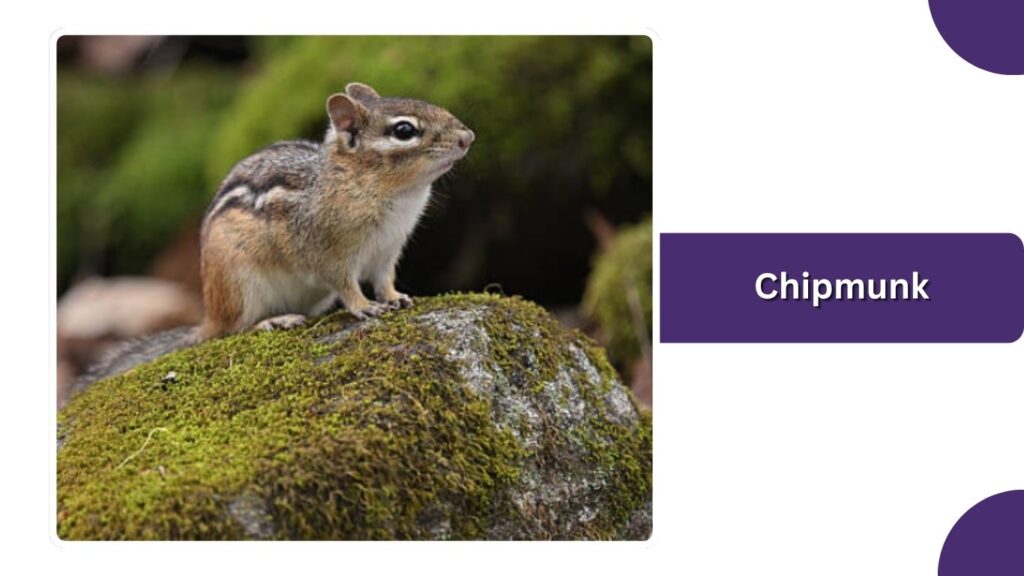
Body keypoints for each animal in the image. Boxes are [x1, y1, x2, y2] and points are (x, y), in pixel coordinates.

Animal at [74, 82, 474, 388]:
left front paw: (396, 298)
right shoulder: (329, 252)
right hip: (240, 284)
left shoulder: (388, 250)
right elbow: (346, 284)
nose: (468, 136)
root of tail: (210, 315)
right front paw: (364, 306)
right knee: (235, 329)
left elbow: (384, 279)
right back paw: (272, 321)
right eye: (405, 130)